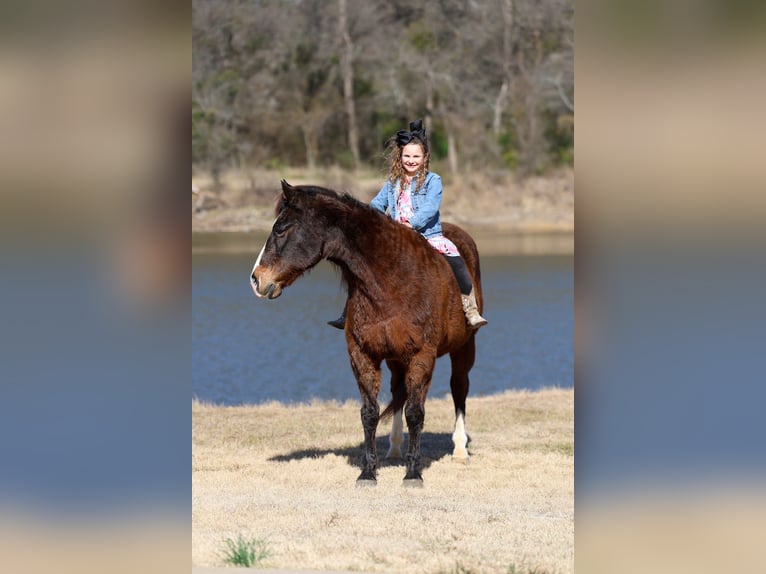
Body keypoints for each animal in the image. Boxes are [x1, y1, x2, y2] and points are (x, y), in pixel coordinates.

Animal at [250, 180, 484, 486]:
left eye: (281, 229)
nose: (256, 279)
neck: (393, 281)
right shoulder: (362, 355)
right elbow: (370, 413)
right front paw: (368, 472)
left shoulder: (422, 356)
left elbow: (415, 413)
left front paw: (413, 474)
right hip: (396, 359)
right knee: (399, 392)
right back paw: (395, 448)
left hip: (464, 348)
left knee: (459, 389)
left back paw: (459, 450)